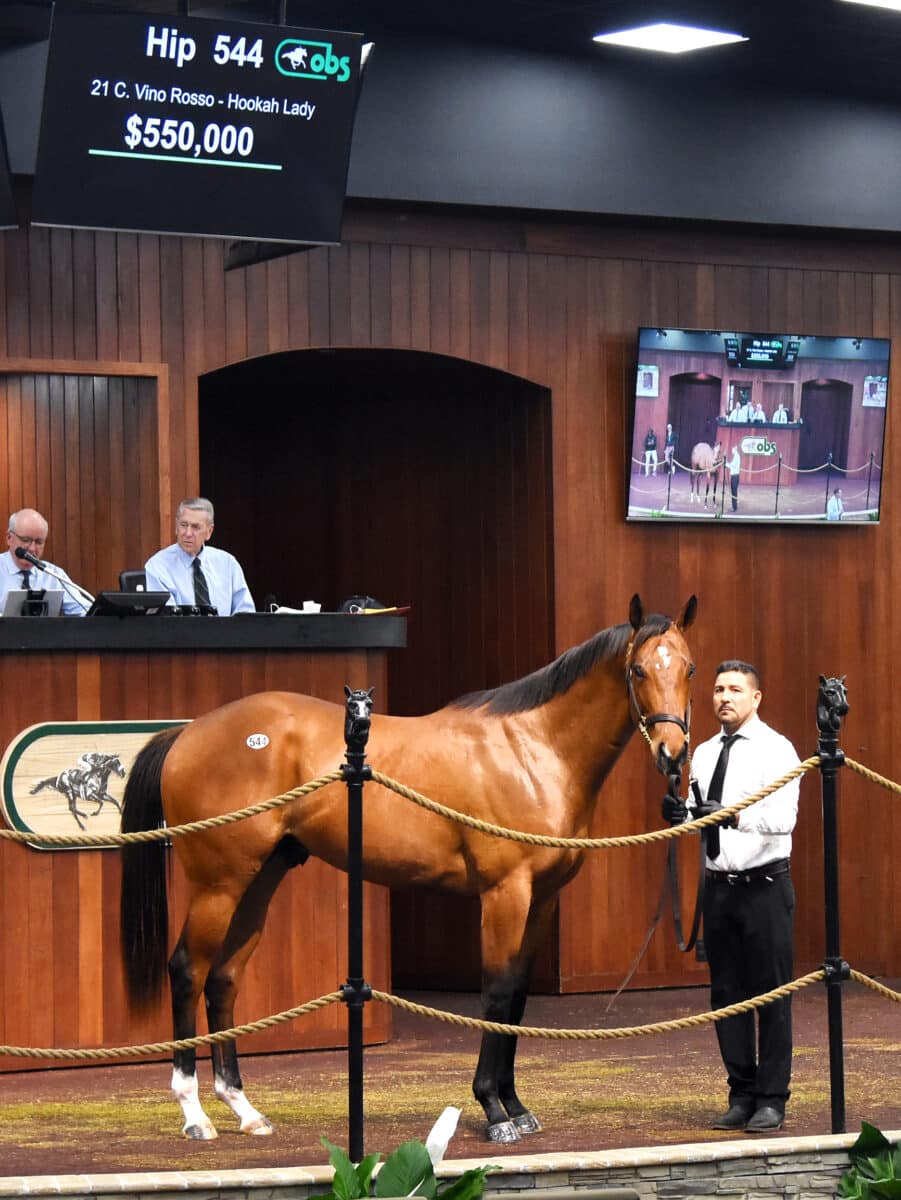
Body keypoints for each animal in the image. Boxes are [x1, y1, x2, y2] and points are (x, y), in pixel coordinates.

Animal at [119, 595, 695, 1137]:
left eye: (688, 668)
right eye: (638, 670)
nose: (673, 753)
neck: (531, 750)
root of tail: (188, 732)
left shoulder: (544, 899)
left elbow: (518, 999)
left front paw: (515, 1105)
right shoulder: (505, 894)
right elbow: (497, 991)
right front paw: (493, 1109)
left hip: (259, 880)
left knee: (224, 979)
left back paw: (244, 1108)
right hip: (218, 885)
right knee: (188, 971)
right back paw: (194, 1113)